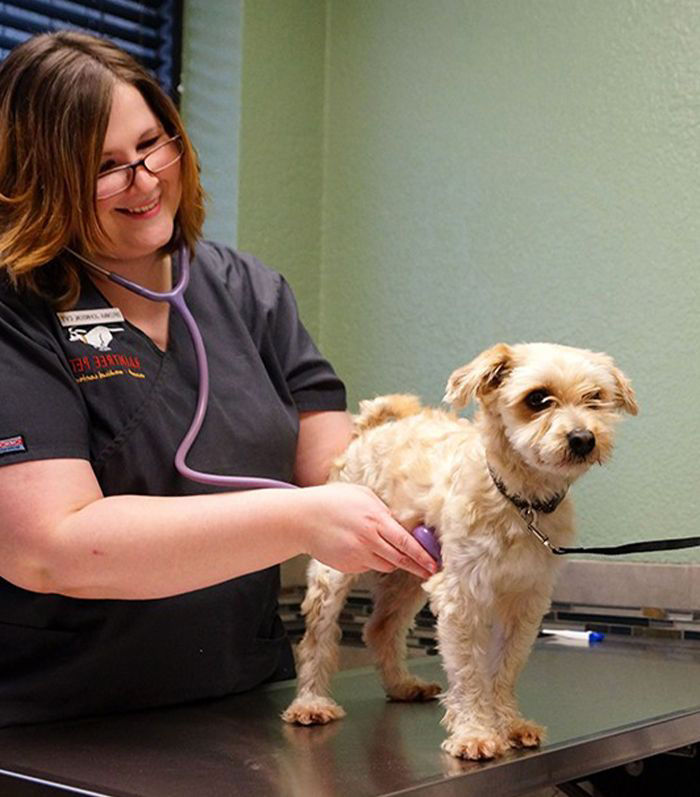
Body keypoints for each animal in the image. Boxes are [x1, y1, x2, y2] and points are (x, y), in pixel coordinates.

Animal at [282, 342, 636, 760]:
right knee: (316, 639)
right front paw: (475, 732)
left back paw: (401, 684)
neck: (519, 502)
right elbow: (469, 671)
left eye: (595, 397)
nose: (583, 438)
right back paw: (311, 702)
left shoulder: (525, 601)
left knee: (381, 627)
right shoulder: (461, 597)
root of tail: (373, 429)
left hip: (409, 572)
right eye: (537, 399)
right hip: (336, 567)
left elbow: (505, 667)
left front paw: (509, 724)